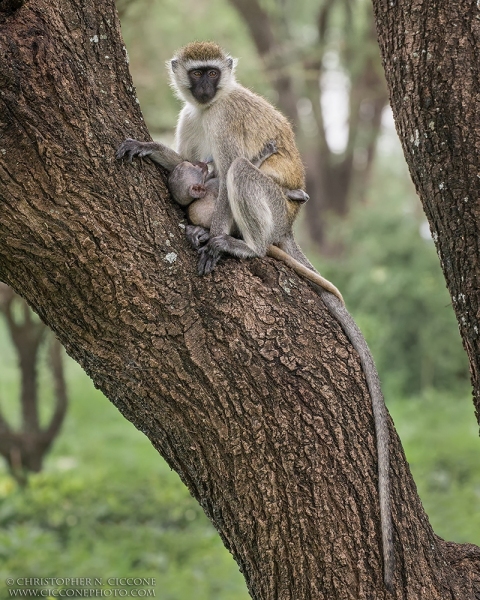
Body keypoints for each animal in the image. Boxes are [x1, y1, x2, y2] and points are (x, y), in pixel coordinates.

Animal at [167, 141, 344, 304]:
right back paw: (252, 248)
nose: (201, 163)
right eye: (194, 167)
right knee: (240, 169)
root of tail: (285, 227)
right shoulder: (206, 198)